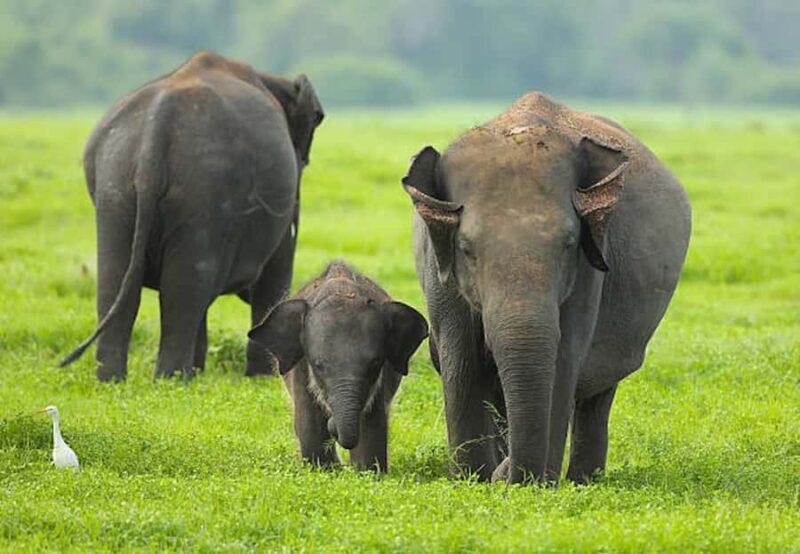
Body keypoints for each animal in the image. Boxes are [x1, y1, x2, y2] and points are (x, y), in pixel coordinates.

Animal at [60, 51, 324, 381]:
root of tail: (155, 130)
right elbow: (278, 263)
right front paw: (263, 378)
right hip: (204, 189)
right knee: (185, 289)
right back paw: (172, 379)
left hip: (115, 186)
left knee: (120, 282)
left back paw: (118, 381)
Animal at [248, 261, 428, 472]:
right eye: (318, 365)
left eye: (375, 364)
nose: (333, 424)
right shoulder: (300, 366)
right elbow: (309, 421)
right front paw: (324, 471)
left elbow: (372, 423)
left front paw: (368, 472)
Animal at [402, 92, 691, 484]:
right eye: (465, 248)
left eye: (568, 244)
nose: (505, 474)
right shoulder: (438, 268)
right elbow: (461, 360)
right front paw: (472, 478)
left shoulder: (589, 268)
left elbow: (564, 357)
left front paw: (534, 484)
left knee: (598, 396)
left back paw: (583, 480)